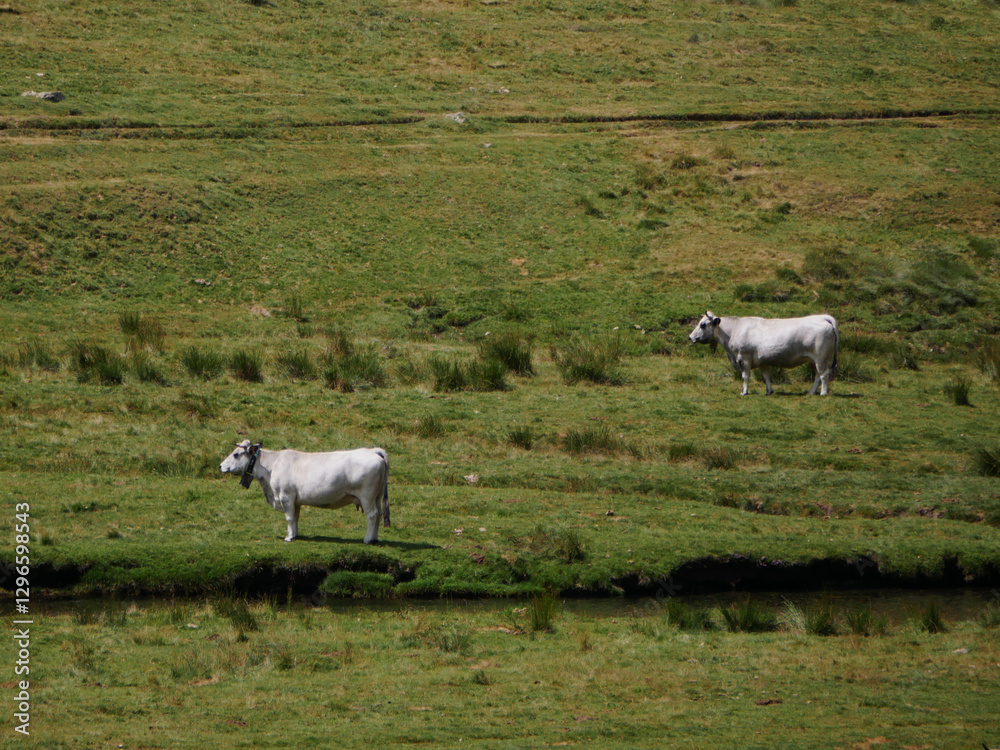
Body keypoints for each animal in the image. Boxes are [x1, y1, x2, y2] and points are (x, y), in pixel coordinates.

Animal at [220, 440, 390, 544]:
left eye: (236, 454)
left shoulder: (286, 496)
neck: (272, 466)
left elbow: (289, 518)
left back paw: (367, 539)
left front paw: (288, 537)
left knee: (372, 515)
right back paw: (374, 538)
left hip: (367, 496)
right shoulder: (295, 501)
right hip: (377, 496)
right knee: (379, 514)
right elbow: (295, 518)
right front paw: (294, 535)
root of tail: (373, 451)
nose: (221, 466)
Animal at [688, 310, 839, 396]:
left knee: (824, 375)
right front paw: (769, 392)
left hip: (821, 358)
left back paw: (823, 393)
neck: (734, 330)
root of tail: (822, 317)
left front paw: (744, 392)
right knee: (818, 376)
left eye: (702, 324)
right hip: (815, 360)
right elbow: (766, 377)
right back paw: (811, 392)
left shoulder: (744, 358)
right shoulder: (763, 361)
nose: (690, 337)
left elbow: (745, 376)